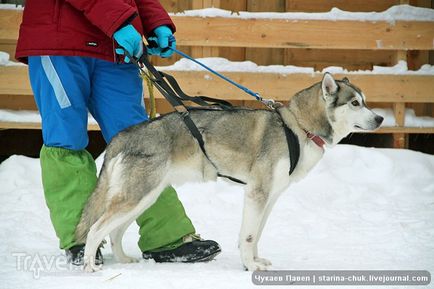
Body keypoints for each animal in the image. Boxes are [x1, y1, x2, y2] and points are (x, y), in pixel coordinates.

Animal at [75, 72, 384, 270]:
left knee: (114, 232)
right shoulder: (257, 193)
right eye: (355, 103)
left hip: (144, 198)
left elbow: (255, 235)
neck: (298, 127)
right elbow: (248, 236)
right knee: (96, 229)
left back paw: (124, 261)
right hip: (136, 197)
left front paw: (255, 261)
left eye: (366, 101)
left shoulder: (269, 198)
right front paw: (250, 267)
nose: (380, 118)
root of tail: (124, 135)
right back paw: (90, 266)